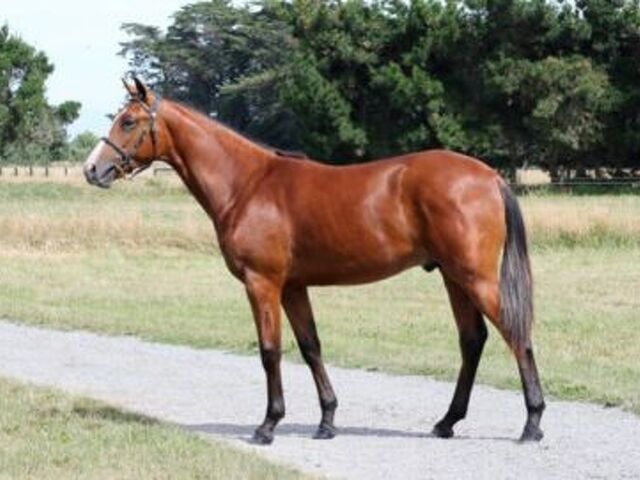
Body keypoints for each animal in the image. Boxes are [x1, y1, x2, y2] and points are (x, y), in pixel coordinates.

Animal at [84, 77, 545, 445]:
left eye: (128, 121)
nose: (92, 169)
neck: (248, 184)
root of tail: (490, 176)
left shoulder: (263, 283)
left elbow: (270, 351)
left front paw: (268, 425)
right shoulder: (293, 287)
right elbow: (310, 347)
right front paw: (327, 421)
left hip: (475, 277)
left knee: (515, 333)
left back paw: (532, 424)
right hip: (453, 277)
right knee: (472, 340)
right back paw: (447, 422)